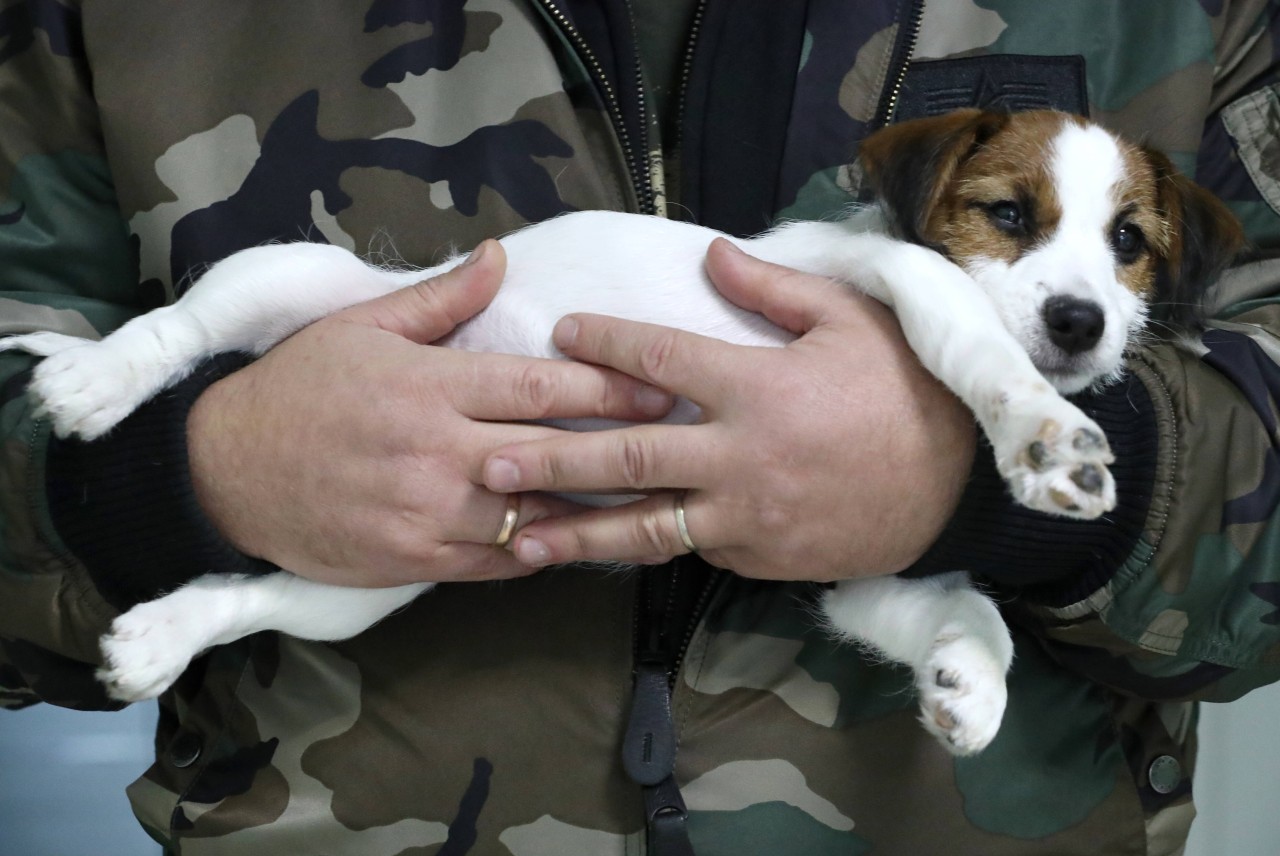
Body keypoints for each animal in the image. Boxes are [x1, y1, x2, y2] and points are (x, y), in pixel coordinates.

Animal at [0, 108, 1239, 752]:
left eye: (1127, 243)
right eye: (1006, 215)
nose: (1079, 323)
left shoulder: (858, 571)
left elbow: (963, 605)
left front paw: (968, 682)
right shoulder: (875, 273)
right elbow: (967, 335)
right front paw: (1040, 431)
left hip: (367, 575)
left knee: (251, 590)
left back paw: (157, 636)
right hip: (296, 281)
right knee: (185, 321)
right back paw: (91, 378)